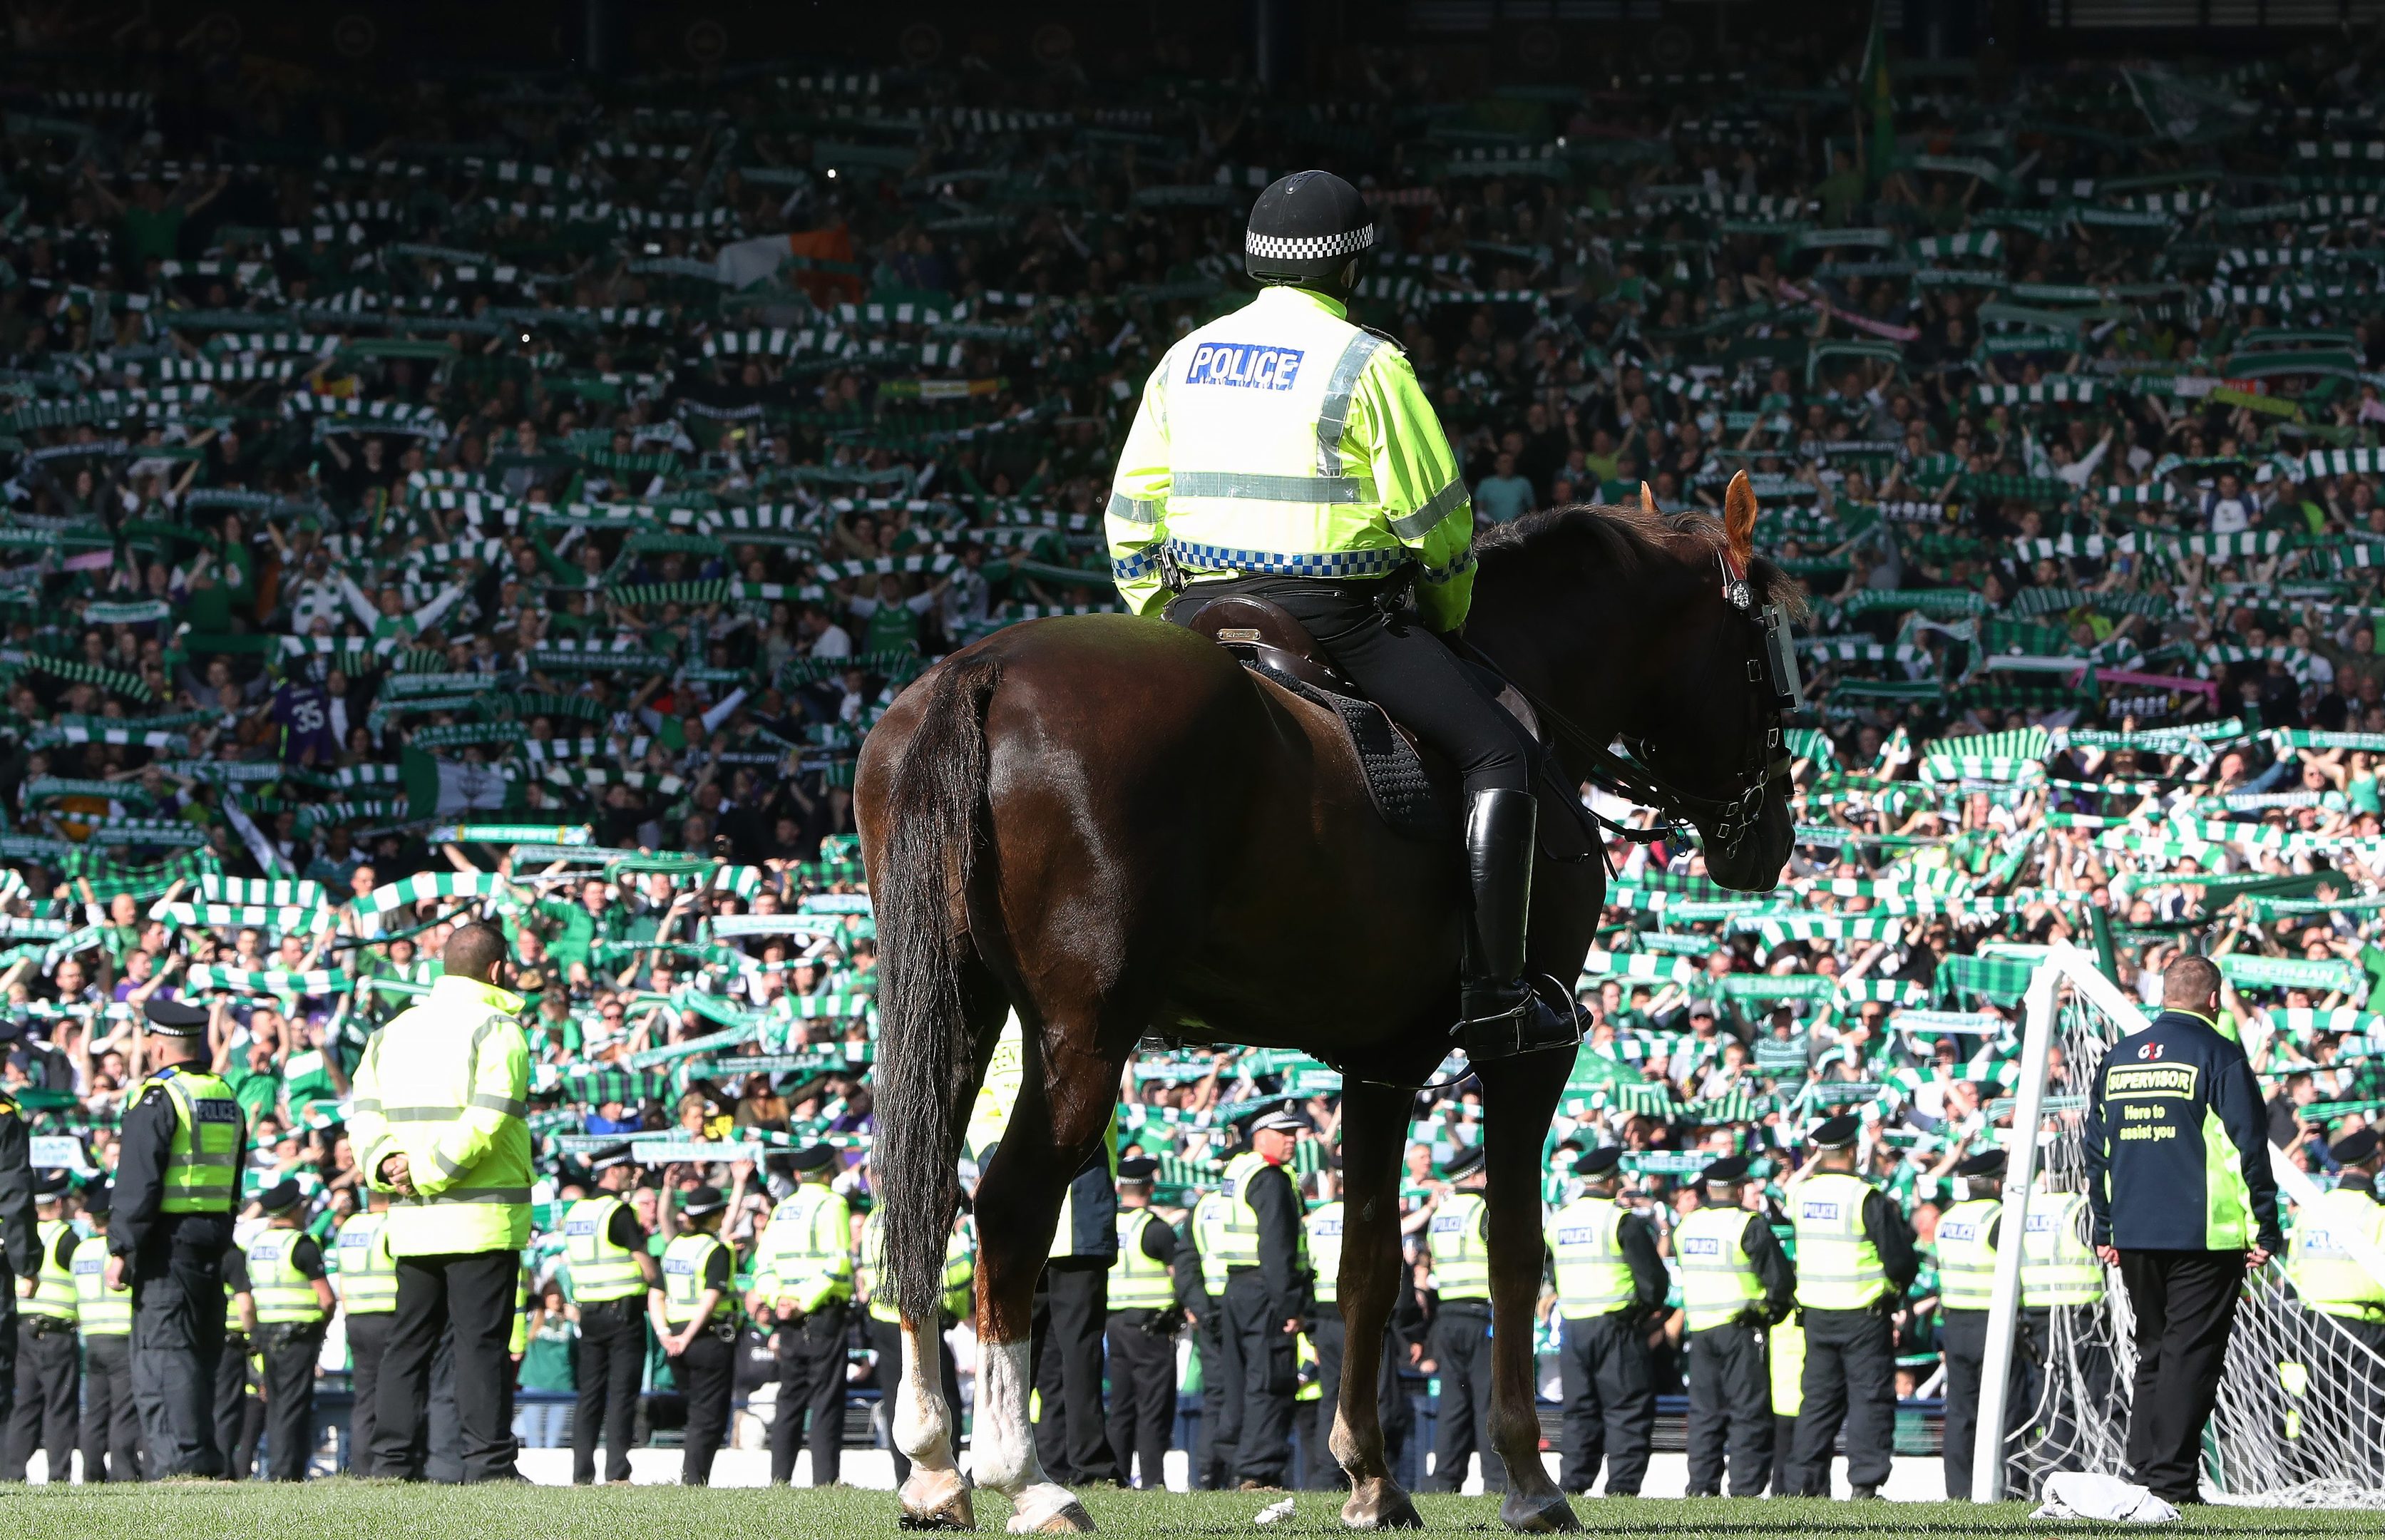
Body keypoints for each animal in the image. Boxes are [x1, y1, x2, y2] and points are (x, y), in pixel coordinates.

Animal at [853, 479, 1793, 1535]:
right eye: (1772, 654)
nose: (1772, 836)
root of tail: (983, 670)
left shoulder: (1382, 1063)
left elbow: (1368, 1262)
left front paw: (1371, 1478)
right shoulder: (1526, 1056)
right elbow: (1514, 1248)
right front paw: (1529, 1478)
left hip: (958, 1009)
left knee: (923, 1197)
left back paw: (935, 1468)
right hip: (1085, 1033)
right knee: (1011, 1206)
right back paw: (1029, 1476)